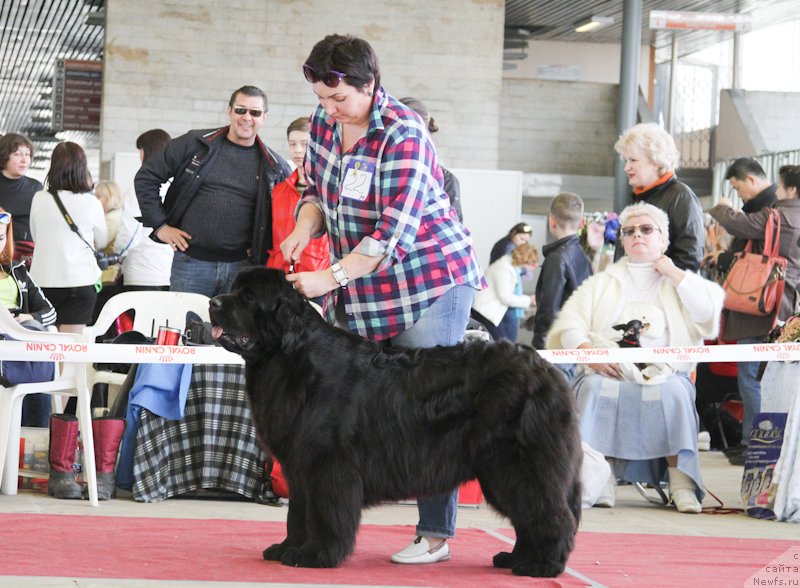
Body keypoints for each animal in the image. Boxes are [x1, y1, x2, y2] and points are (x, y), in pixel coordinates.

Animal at [208, 268, 580, 580]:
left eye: (249, 298)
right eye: (234, 289)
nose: (213, 303)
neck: (291, 357)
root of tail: (546, 368)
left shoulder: (328, 465)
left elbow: (324, 514)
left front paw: (315, 555)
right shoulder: (299, 466)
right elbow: (297, 514)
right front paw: (287, 549)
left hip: (516, 464)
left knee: (550, 513)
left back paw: (541, 565)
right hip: (501, 470)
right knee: (529, 516)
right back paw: (515, 558)